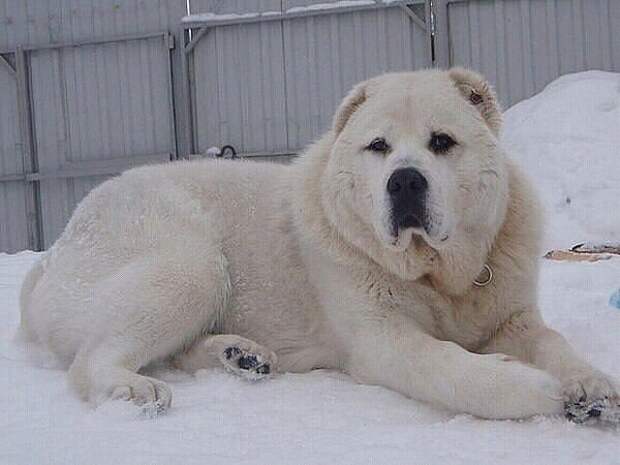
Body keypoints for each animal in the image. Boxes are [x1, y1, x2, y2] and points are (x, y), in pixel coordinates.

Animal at [18, 67, 616, 418]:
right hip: (190, 263)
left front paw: (591, 386)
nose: (405, 181)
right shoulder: (381, 337)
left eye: (442, 142)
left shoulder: (512, 319)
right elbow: (449, 367)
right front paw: (535, 389)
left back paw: (242, 355)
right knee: (92, 361)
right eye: (378, 146)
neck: (436, 273)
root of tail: (54, 253)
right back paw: (135, 390)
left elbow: (554, 342)